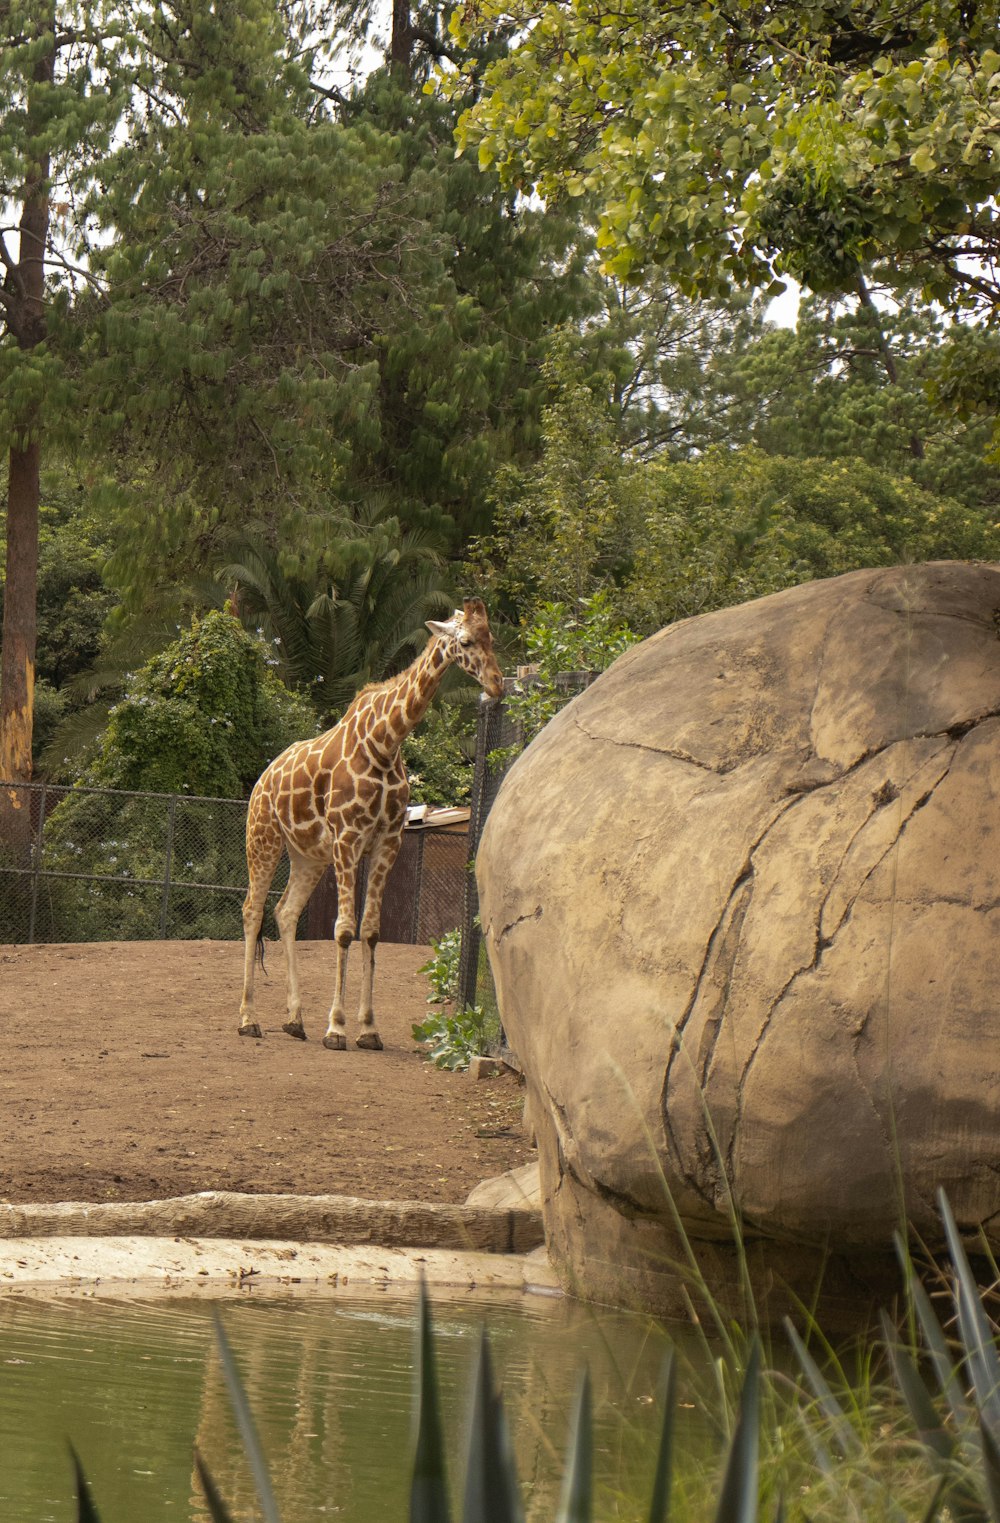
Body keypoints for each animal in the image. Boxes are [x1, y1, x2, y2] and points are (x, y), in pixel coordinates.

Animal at [237, 600, 502, 1053]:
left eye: (491, 638)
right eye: (466, 641)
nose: (498, 684)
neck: (384, 743)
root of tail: (262, 779)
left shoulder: (387, 841)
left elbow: (372, 931)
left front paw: (368, 1029)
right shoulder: (348, 838)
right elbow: (344, 930)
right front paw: (336, 1028)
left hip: (307, 854)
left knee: (285, 911)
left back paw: (294, 1020)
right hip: (264, 838)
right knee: (252, 909)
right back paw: (248, 1019)